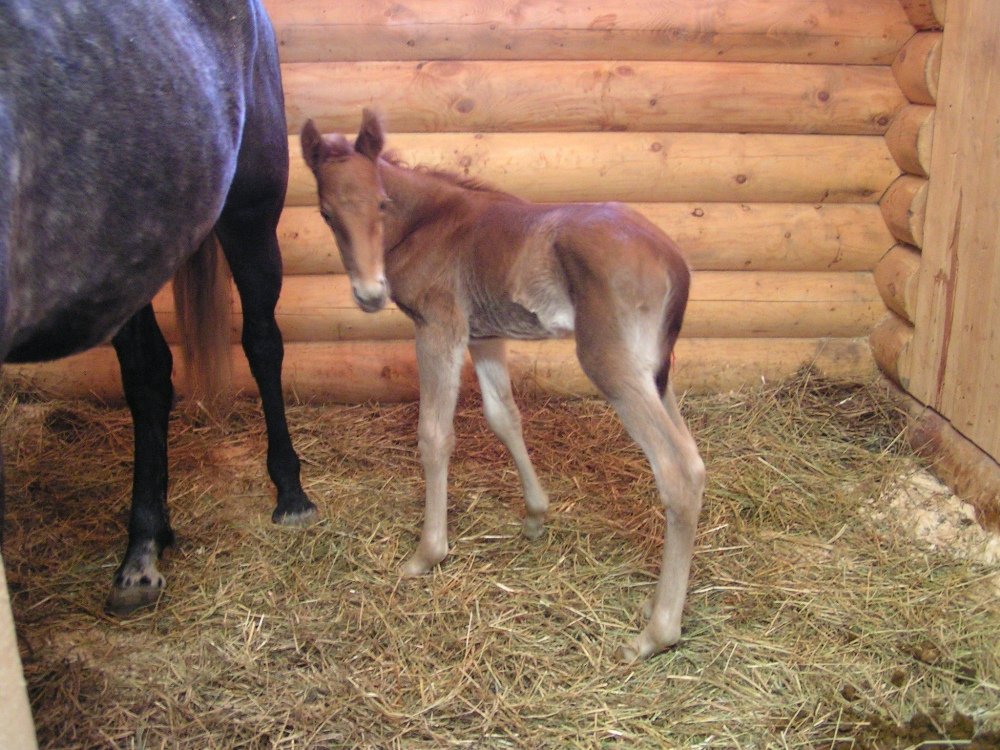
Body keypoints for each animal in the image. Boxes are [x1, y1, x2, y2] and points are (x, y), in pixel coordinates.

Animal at [0, 0, 314, 612]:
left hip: (249, 213)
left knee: (262, 343)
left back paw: (290, 495)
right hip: (133, 258)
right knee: (149, 376)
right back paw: (145, 547)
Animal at [300, 111, 708, 664]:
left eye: (382, 203)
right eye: (326, 213)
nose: (369, 293)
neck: (431, 222)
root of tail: (674, 260)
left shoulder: (439, 327)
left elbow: (435, 436)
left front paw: (427, 552)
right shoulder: (486, 336)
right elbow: (504, 417)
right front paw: (535, 516)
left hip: (614, 364)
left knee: (676, 472)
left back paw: (656, 632)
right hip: (655, 370)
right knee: (694, 462)